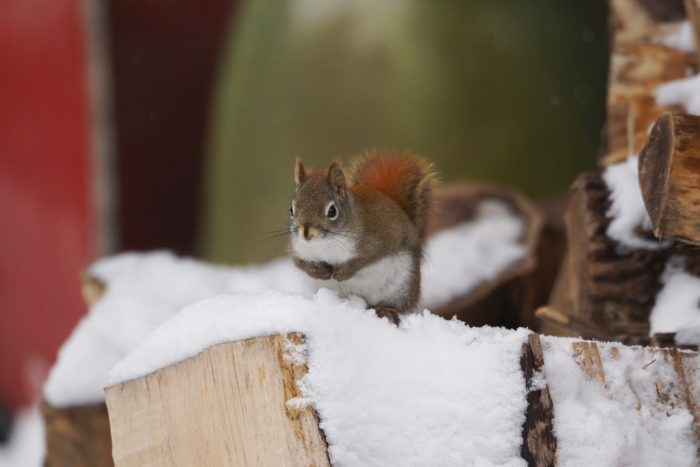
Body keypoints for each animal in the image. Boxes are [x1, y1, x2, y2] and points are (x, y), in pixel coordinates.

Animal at [288, 150, 434, 322]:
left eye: (332, 211)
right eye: (291, 209)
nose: (306, 234)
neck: (324, 243)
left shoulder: (376, 242)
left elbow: (364, 259)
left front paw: (343, 272)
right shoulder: (297, 248)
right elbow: (299, 263)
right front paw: (317, 271)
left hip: (403, 285)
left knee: (401, 306)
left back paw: (386, 310)